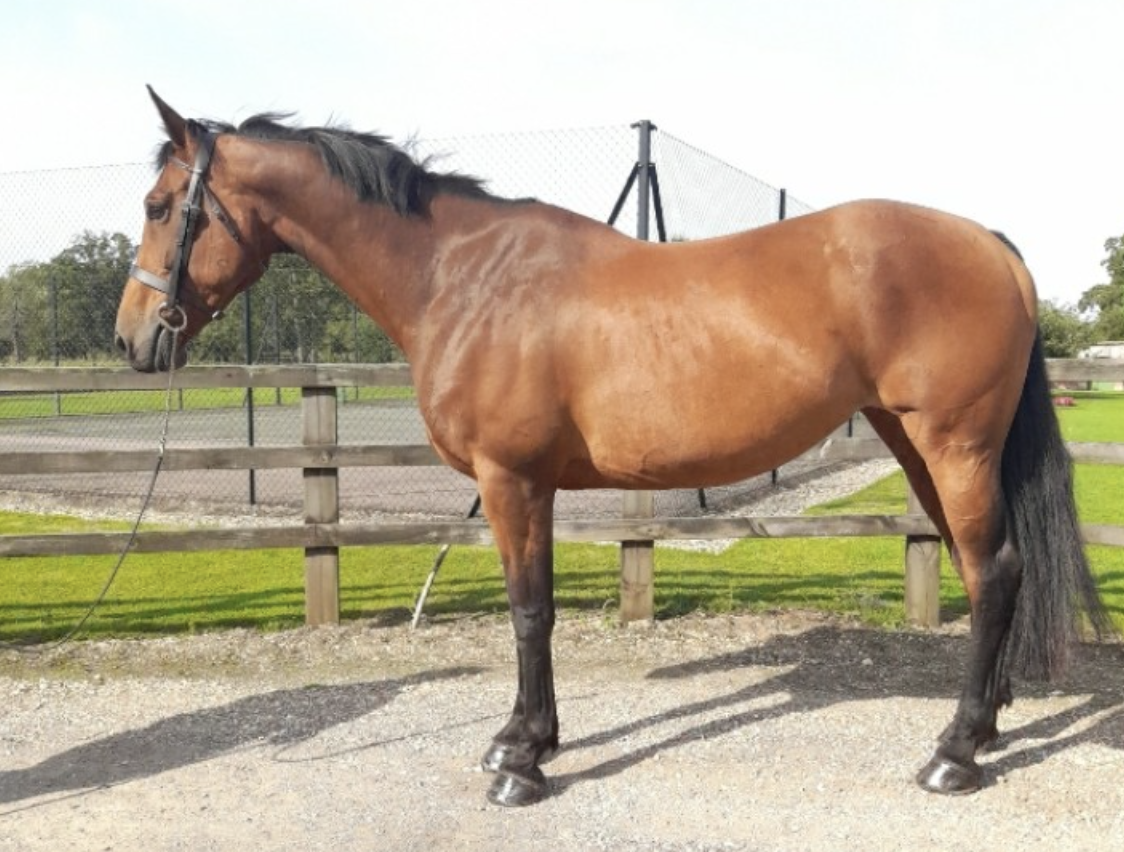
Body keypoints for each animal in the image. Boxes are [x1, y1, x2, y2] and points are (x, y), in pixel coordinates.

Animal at [115, 87, 1109, 807]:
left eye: (162, 206)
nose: (132, 340)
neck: (464, 277)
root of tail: (989, 244)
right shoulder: (534, 487)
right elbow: (538, 608)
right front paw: (525, 741)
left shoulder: (511, 481)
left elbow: (529, 612)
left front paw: (522, 764)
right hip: (919, 447)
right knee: (985, 570)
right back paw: (985, 726)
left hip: (953, 447)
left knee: (993, 574)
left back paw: (954, 754)